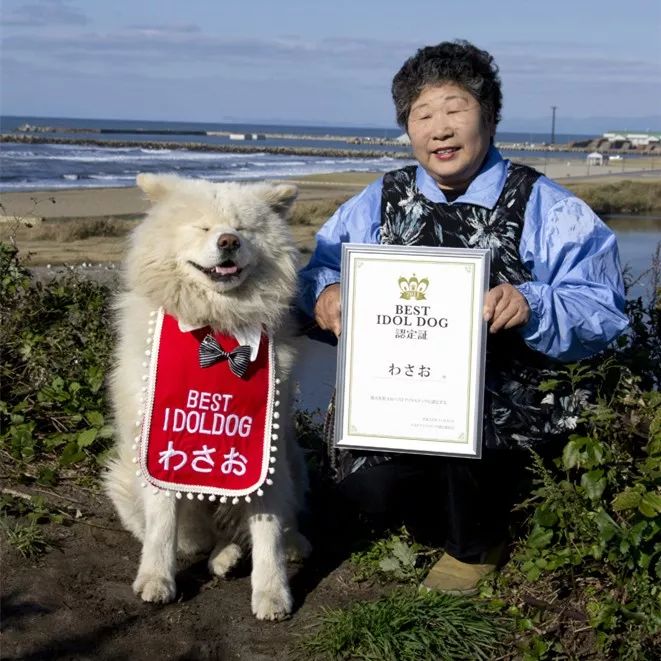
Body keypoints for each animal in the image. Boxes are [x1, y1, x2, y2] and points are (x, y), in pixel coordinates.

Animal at [103, 174, 310, 620]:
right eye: (203, 228)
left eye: (243, 228)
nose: (229, 241)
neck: (219, 325)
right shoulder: (163, 443)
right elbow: (162, 526)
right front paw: (156, 580)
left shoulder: (263, 451)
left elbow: (268, 532)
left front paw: (272, 592)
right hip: (125, 475)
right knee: (195, 539)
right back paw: (221, 556)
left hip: (294, 464)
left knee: (268, 524)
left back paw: (274, 548)